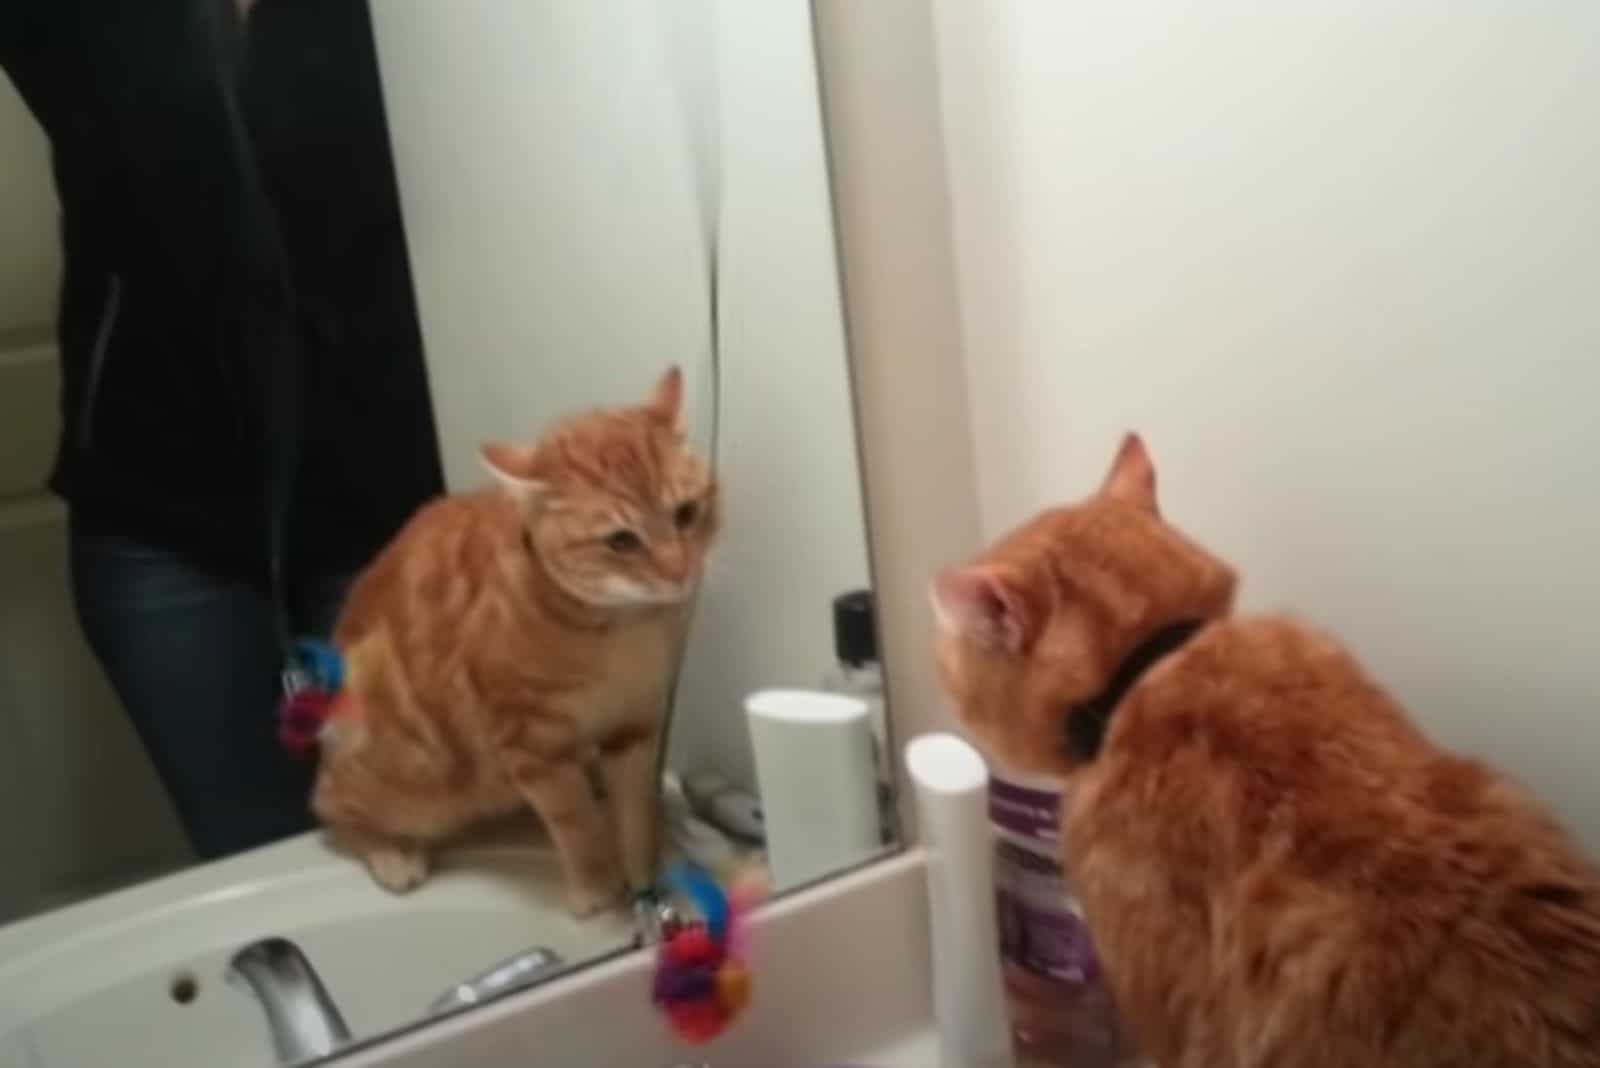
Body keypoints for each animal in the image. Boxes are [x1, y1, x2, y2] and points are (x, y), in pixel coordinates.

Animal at [312, 369, 713, 920]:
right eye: (621, 541)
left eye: (686, 513)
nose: (680, 570)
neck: (617, 630)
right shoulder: (528, 745)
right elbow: (573, 821)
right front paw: (598, 889)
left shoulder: (632, 726)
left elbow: (634, 814)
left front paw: (644, 878)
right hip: (412, 780)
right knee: (330, 804)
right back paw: (391, 852)